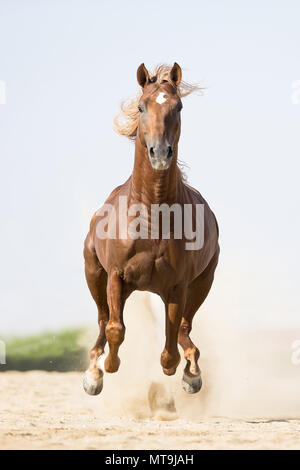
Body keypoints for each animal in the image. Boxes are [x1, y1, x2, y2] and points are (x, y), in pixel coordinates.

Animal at [83, 61, 219, 392]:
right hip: (94, 273)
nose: (160, 152)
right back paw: (93, 371)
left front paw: (182, 371)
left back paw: (192, 371)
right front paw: (107, 366)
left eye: (178, 106)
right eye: (142, 107)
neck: (151, 217)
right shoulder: (115, 276)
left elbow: (170, 345)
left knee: (184, 327)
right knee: (103, 320)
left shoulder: (178, 285)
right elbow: (116, 328)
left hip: (202, 282)